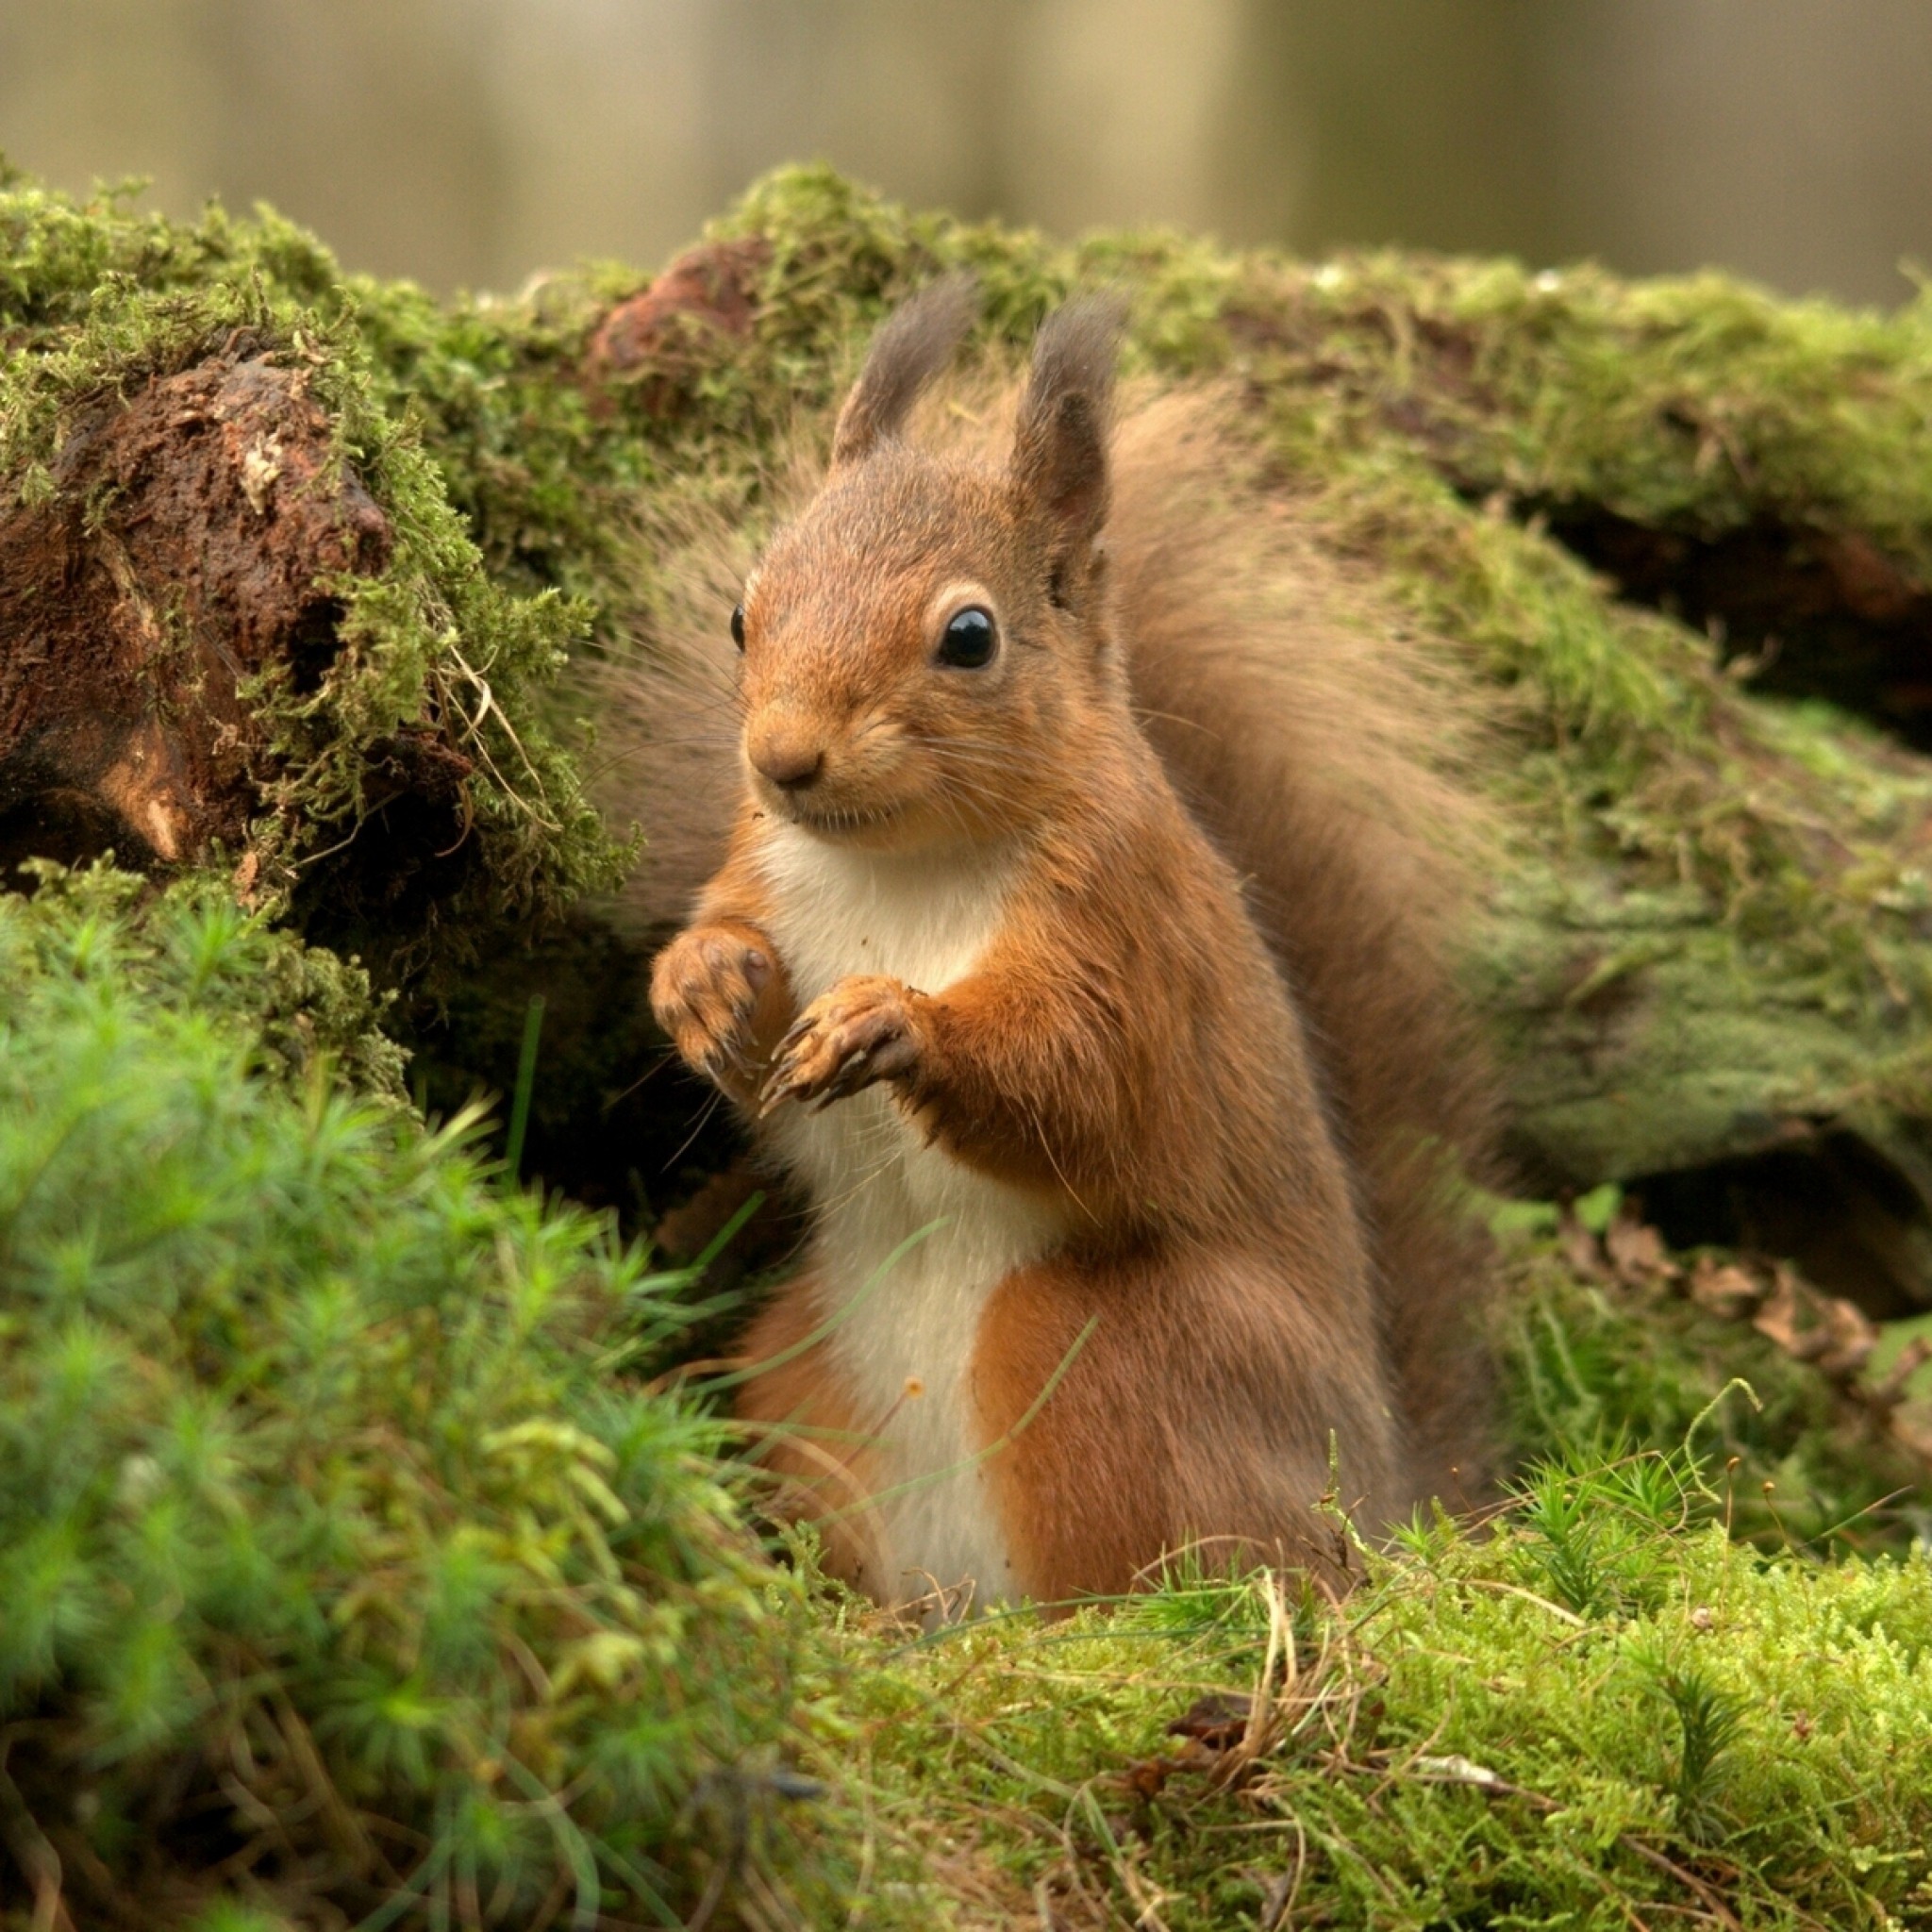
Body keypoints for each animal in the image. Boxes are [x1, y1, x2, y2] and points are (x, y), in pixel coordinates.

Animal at [633, 279, 1491, 1615]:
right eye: (740, 611)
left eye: (968, 636)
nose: (780, 758)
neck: (902, 868)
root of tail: (1380, 1491)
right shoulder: (759, 868)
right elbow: (734, 962)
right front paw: (703, 982)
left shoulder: (1122, 928)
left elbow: (1082, 1078)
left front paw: (896, 1020)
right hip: (797, 1372)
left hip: (1111, 1355)